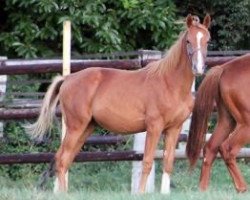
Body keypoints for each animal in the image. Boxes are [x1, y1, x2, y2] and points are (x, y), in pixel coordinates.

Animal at [27, 14, 211, 193]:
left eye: (207, 40)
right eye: (188, 41)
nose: (198, 68)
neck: (170, 83)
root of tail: (67, 79)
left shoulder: (174, 129)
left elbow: (168, 163)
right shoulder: (154, 127)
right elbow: (147, 162)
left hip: (86, 128)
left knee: (64, 160)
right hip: (75, 127)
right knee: (62, 160)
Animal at [187, 53, 250, 192]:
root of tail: (223, 69)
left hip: (226, 122)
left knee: (210, 148)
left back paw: (203, 189)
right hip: (246, 124)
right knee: (227, 149)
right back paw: (242, 187)